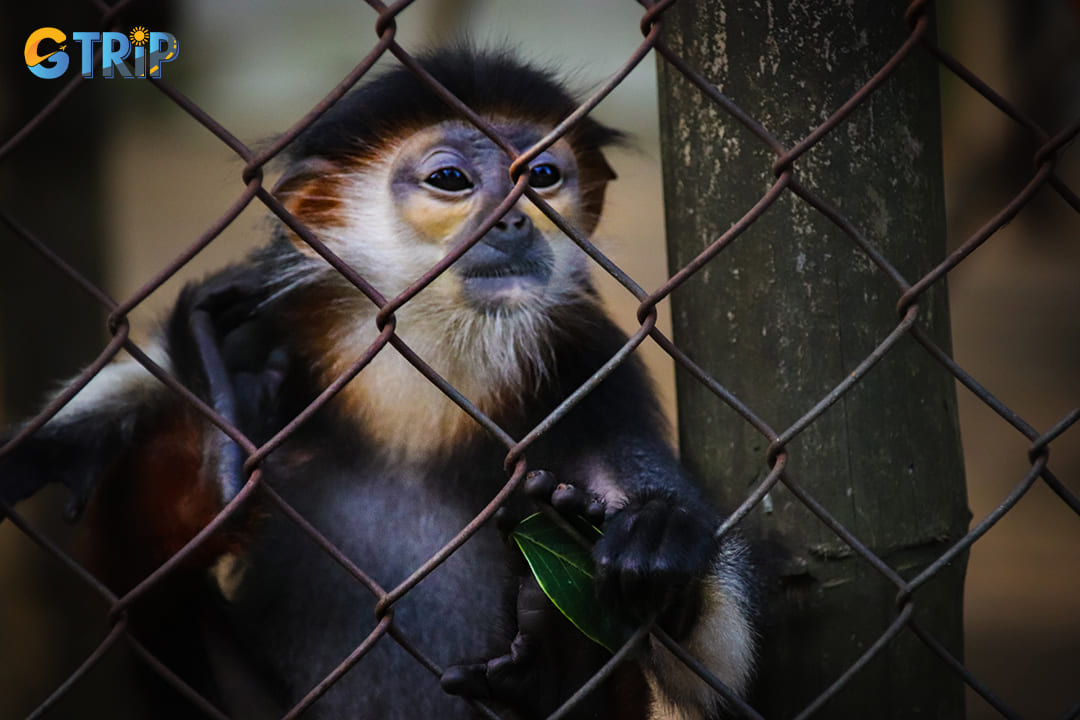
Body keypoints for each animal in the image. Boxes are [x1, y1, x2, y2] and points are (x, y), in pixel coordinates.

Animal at [0, 47, 756, 716]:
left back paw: (547, 663)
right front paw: (52, 446)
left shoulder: (594, 369)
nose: (516, 218)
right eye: (451, 180)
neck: (430, 357)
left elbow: (720, 673)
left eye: (542, 175)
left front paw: (659, 537)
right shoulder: (277, 318)